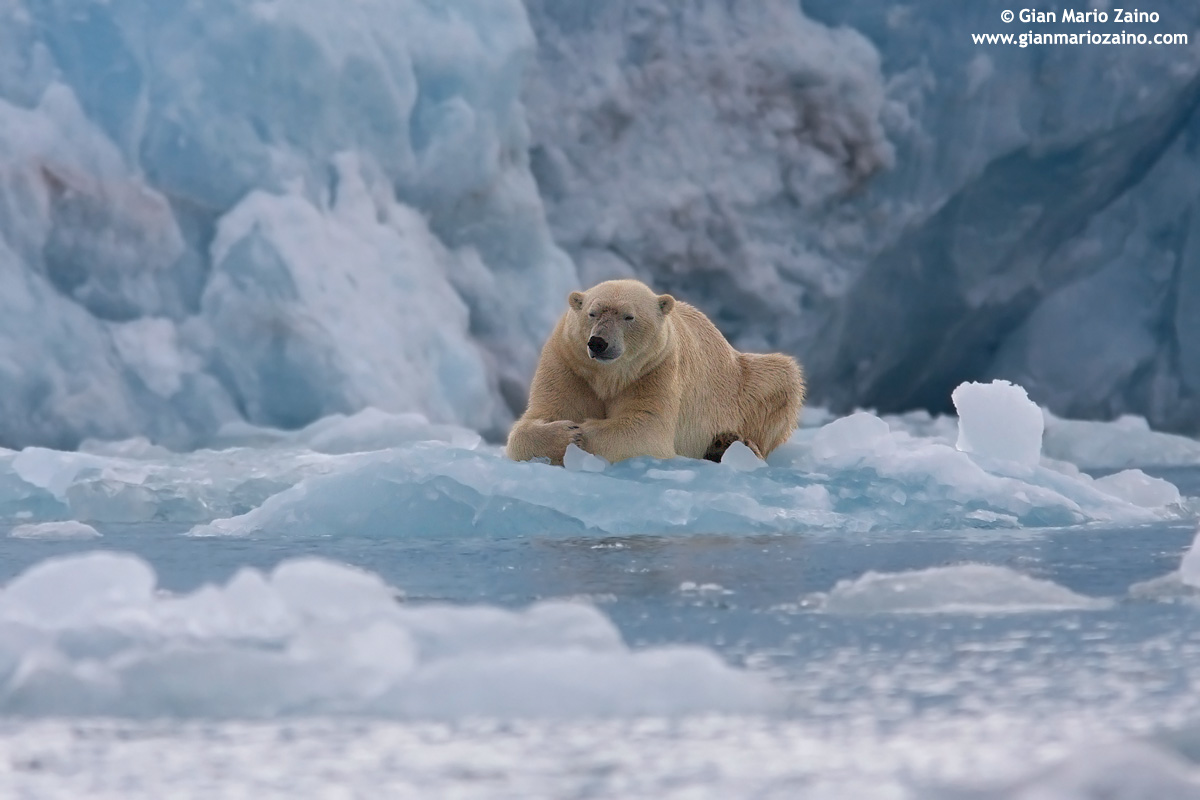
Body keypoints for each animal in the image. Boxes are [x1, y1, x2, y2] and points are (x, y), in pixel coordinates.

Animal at [505, 279, 805, 465]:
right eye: (592, 313)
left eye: (629, 316)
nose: (598, 342)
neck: (608, 376)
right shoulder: (570, 365)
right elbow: (538, 418)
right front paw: (566, 431)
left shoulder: (655, 369)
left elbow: (645, 428)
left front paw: (582, 431)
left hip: (740, 382)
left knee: (781, 378)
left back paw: (734, 445)